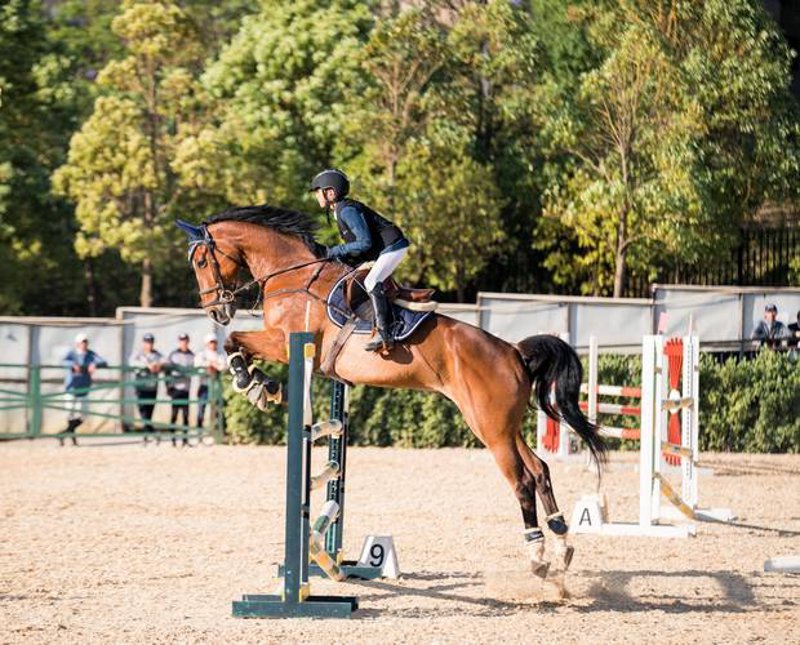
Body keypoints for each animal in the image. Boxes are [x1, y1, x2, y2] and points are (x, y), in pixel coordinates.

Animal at [177, 204, 606, 577]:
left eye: (200, 262)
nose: (214, 310)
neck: (292, 277)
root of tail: (514, 351)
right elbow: (237, 341)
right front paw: (258, 384)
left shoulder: (285, 342)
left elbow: (234, 341)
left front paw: (254, 384)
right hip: (505, 425)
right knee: (539, 470)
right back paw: (561, 546)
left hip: (491, 429)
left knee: (521, 481)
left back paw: (536, 555)